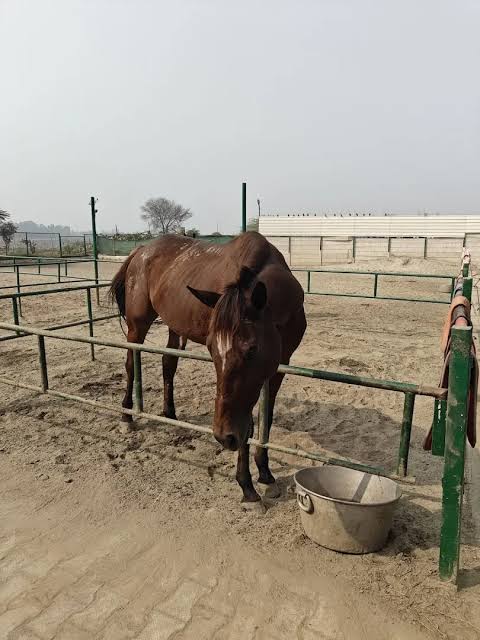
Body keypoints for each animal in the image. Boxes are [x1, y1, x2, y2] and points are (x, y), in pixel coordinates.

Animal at [109, 231, 306, 507]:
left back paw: (170, 413)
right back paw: (126, 416)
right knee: (130, 365)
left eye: (252, 349)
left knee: (168, 364)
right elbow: (247, 426)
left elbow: (264, 419)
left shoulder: (279, 366)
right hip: (137, 324)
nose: (223, 437)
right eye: (211, 348)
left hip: (174, 326)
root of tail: (141, 250)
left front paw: (265, 472)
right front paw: (247, 485)